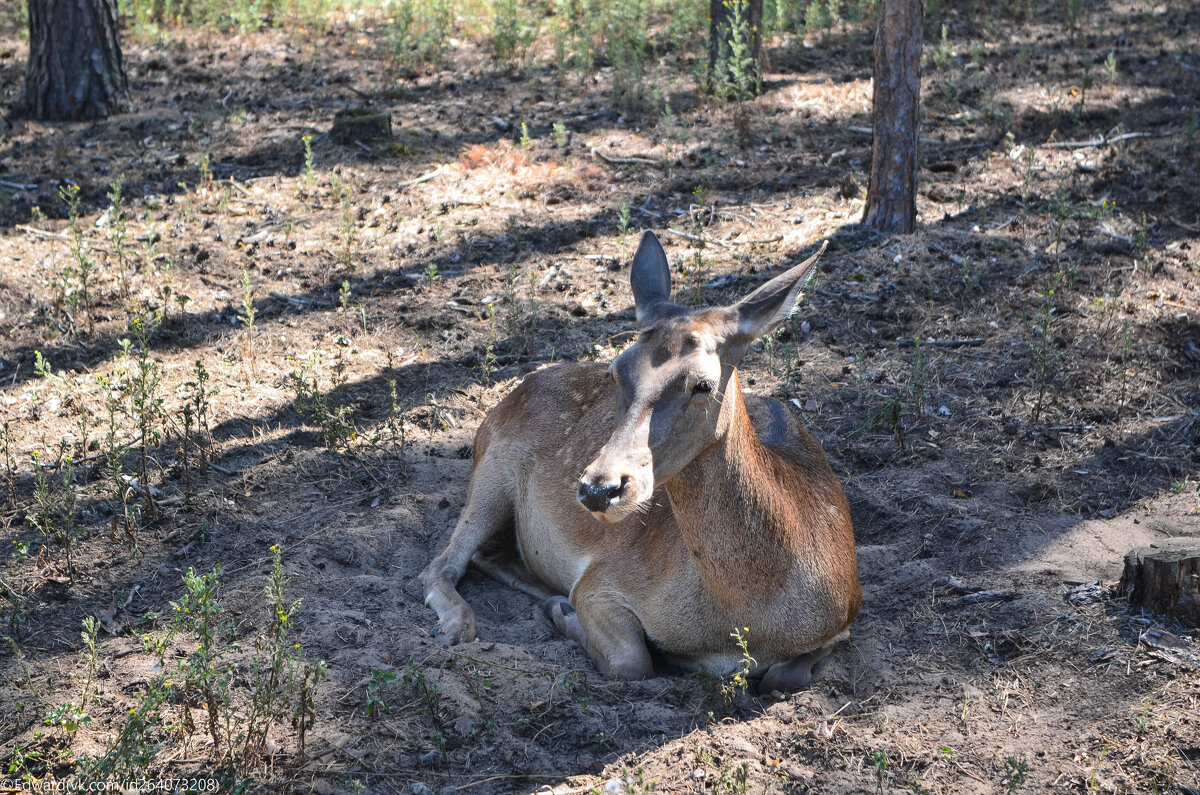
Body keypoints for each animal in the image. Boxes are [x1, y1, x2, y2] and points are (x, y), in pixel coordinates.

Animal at [422, 230, 864, 691]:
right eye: (617, 370)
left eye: (703, 384)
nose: (599, 488)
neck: (745, 618)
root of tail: (513, 393)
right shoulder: (602, 580)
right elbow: (631, 660)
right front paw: (566, 613)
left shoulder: (844, 620)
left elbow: (785, 676)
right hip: (493, 470)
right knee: (441, 564)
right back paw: (461, 624)